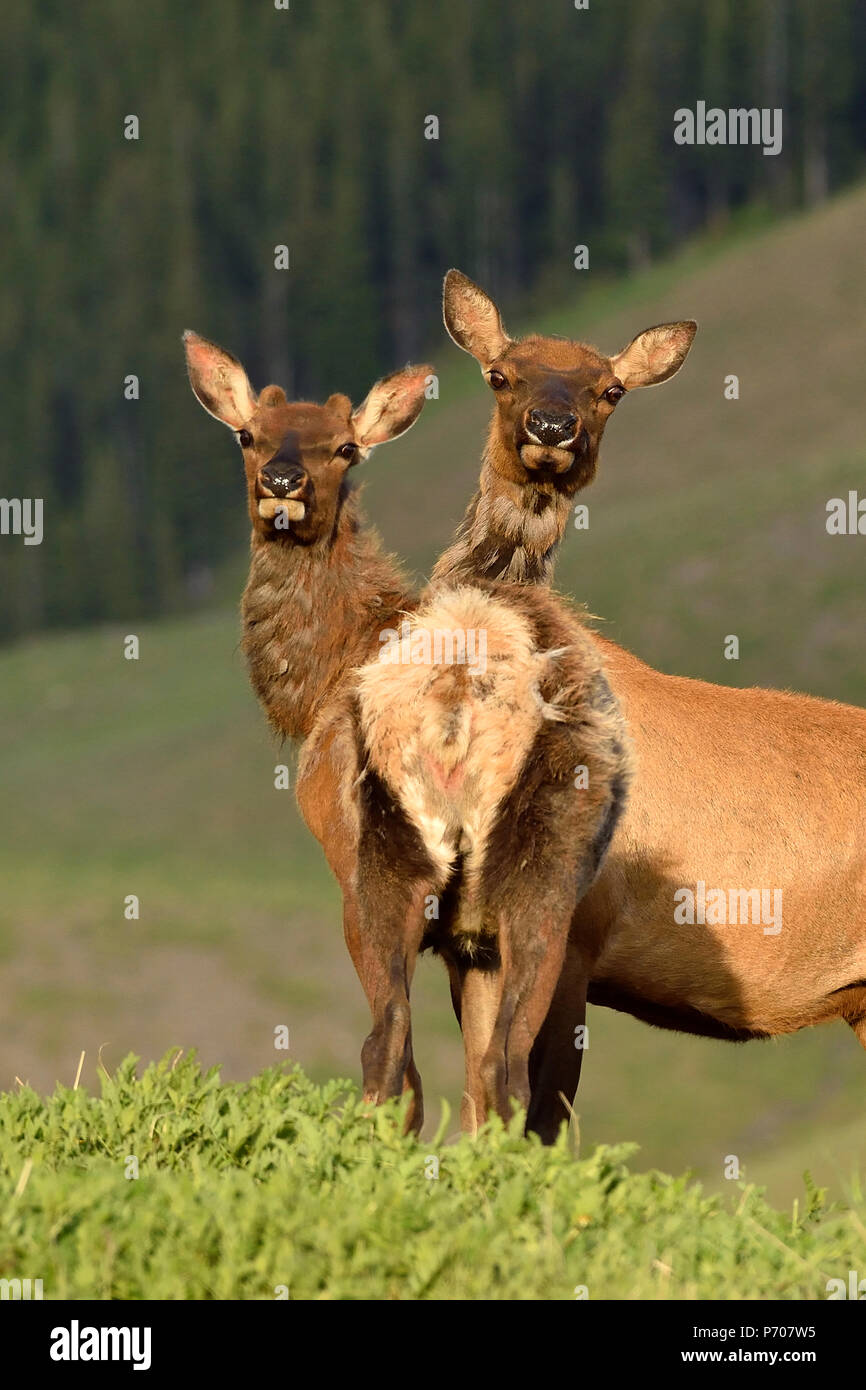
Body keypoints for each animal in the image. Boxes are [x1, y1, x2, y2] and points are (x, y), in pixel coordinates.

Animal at [184, 330, 631, 1134]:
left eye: (346, 448)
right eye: (247, 434)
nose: (282, 481)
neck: (320, 678)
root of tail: (457, 691)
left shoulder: (341, 858)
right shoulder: (472, 940)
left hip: (383, 863)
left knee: (387, 1044)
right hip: (545, 876)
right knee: (505, 1067)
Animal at [436, 271, 866, 1139]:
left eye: (611, 390)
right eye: (501, 372)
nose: (553, 427)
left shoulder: (572, 935)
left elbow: (535, 1108)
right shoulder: (471, 939)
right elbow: (479, 1101)